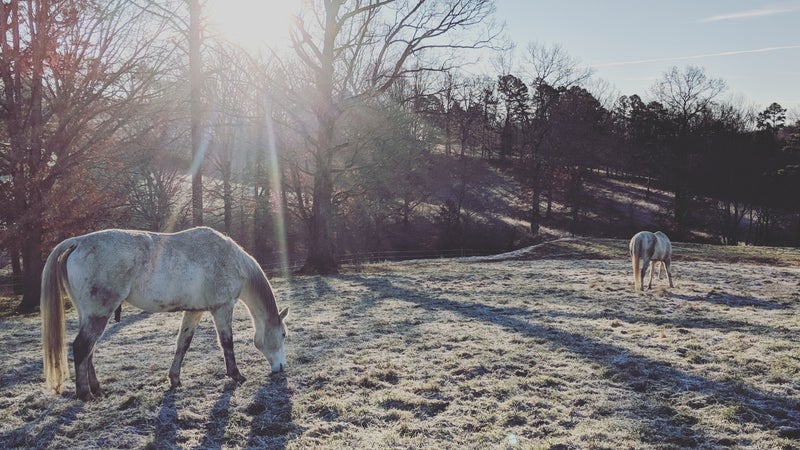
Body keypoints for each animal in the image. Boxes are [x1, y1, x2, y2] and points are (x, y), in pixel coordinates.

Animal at [40, 227, 290, 400]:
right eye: (284, 335)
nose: (281, 368)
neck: (229, 259)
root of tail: (78, 242)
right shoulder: (222, 308)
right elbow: (227, 343)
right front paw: (236, 375)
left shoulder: (194, 312)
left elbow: (183, 344)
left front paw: (175, 379)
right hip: (98, 314)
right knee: (82, 347)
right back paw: (85, 394)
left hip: (90, 315)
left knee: (88, 351)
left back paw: (97, 389)